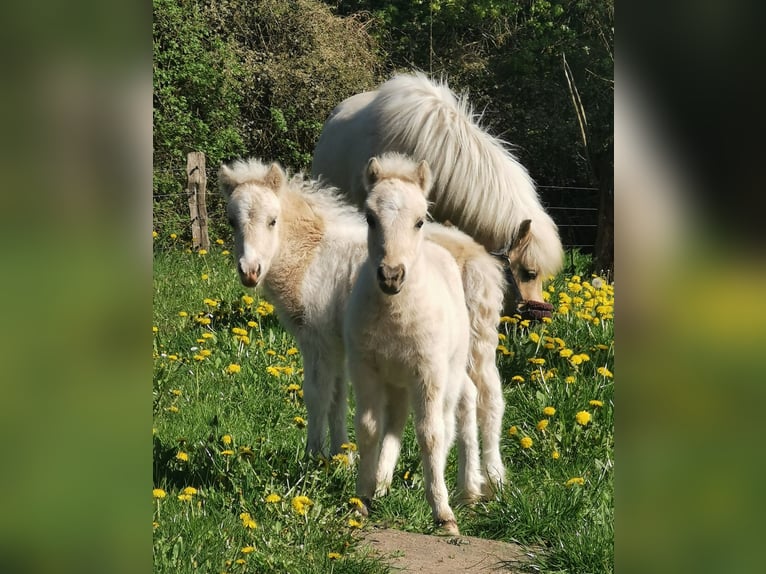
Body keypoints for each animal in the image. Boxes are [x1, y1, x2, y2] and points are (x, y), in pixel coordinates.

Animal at [218, 156, 506, 495]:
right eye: (232, 221)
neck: (310, 256)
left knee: (473, 396)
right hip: (475, 340)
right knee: (485, 395)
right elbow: (338, 397)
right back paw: (487, 480)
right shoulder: (339, 343)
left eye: (272, 220)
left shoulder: (316, 339)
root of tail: (478, 260)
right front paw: (342, 456)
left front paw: (314, 456)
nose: (250, 271)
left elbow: (316, 394)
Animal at [345, 154, 477, 535]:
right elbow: (369, 428)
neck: (395, 314)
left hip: (448, 374)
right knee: (396, 421)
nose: (391, 276)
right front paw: (362, 500)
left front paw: (443, 515)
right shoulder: (366, 368)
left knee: (450, 418)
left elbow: (430, 434)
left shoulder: (428, 372)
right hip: (397, 381)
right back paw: (382, 483)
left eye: (419, 221)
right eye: (370, 218)